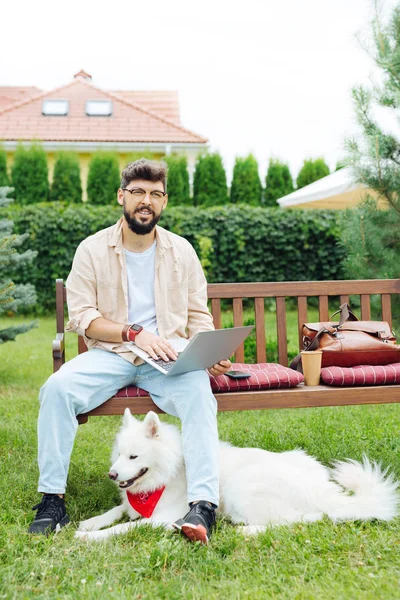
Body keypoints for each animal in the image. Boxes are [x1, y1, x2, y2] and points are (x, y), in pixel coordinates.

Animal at [75, 408, 396, 544]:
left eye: (134, 457)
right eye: (119, 454)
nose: (112, 475)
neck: (169, 470)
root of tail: (322, 492)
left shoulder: (164, 518)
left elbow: (123, 527)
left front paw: (88, 537)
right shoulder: (131, 503)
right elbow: (117, 511)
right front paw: (90, 523)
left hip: (242, 488)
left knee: (301, 521)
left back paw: (245, 530)